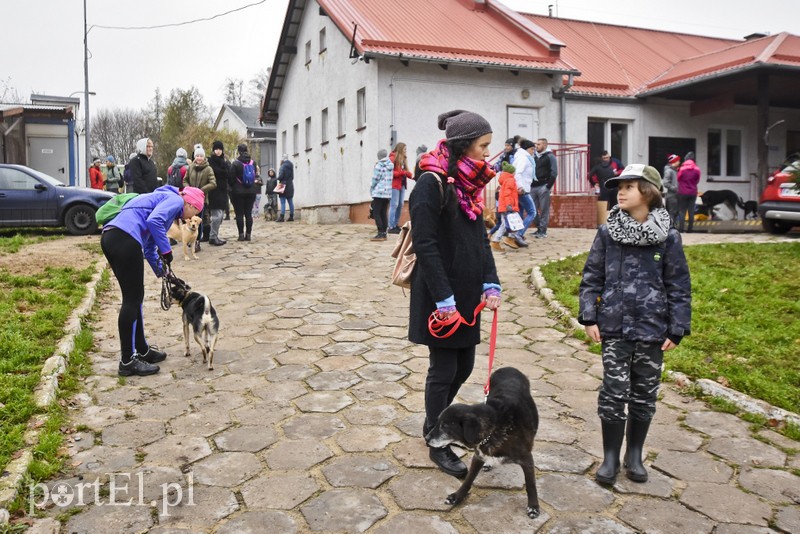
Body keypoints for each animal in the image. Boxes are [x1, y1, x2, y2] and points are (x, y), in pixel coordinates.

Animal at [424, 368, 536, 520]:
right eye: (438, 422)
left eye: (445, 426)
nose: (426, 439)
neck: (496, 427)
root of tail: (509, 368)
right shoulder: (478, 456)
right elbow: (468, 480)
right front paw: (457, 497)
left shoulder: (527, 459)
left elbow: (531, 485)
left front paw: (534, 507)